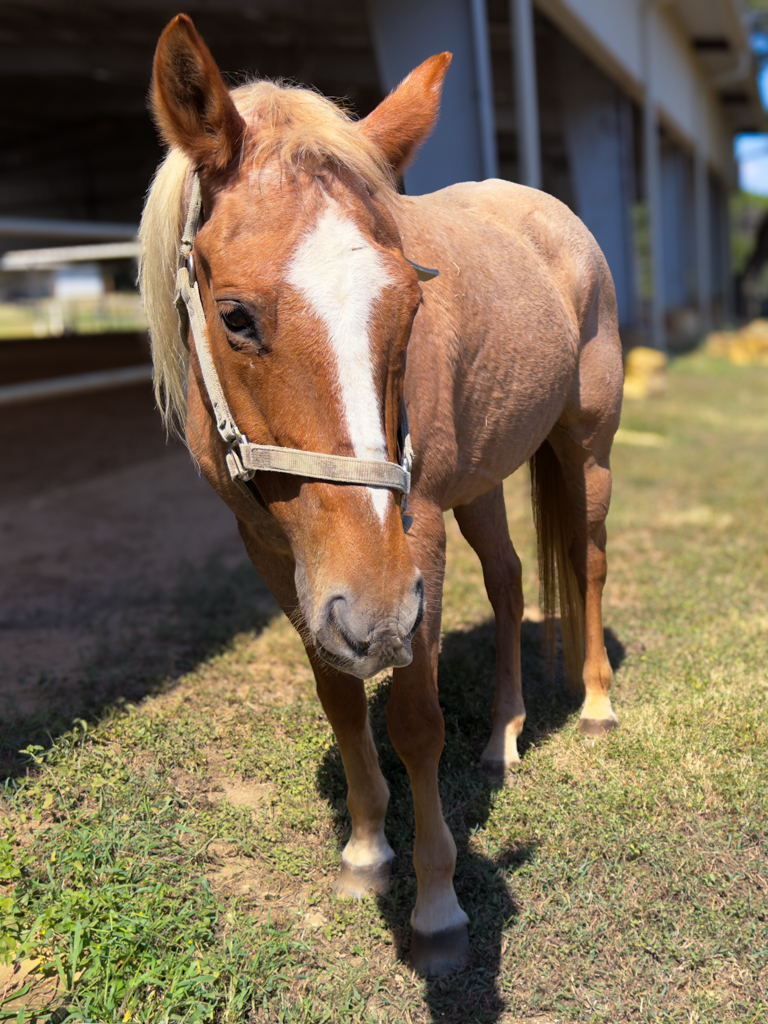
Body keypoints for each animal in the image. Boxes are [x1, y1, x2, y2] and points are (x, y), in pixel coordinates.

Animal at [141, 16, 626, 974]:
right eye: (235, 315)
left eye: (408, 305)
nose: (376, 620)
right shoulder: (276, 552)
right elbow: (339, 699)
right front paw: (366, 852)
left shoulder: (415, 538)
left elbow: (414, 718)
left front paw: (437, 906)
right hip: (481, 482)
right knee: (511, 581)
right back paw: (505, 737)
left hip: (583, 450)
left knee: (586, 563)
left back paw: (593, 706)